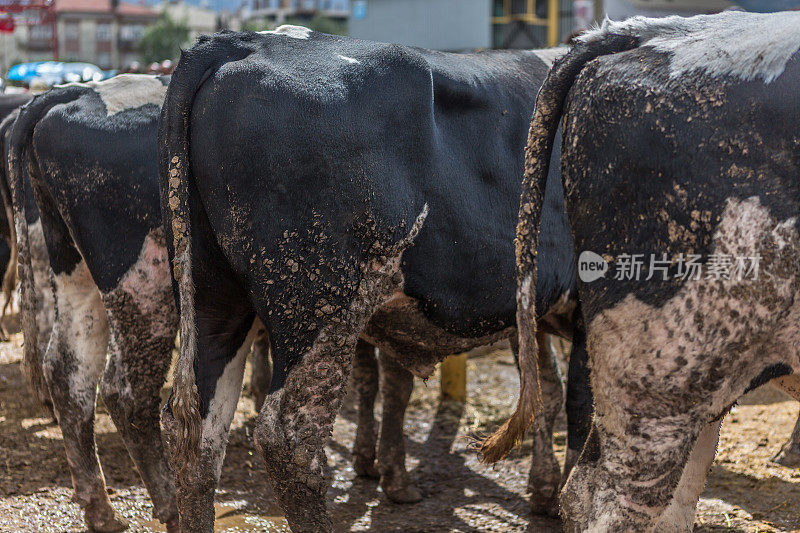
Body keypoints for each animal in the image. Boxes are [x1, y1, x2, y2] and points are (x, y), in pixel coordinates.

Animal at [158, 26, 588, 532]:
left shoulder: (533, 309)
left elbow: (547, 392)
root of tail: (246, 41)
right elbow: (585, 412)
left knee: (195, 434)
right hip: (320, 306)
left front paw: (544, 490)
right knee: (290, 436)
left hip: (212, 298)